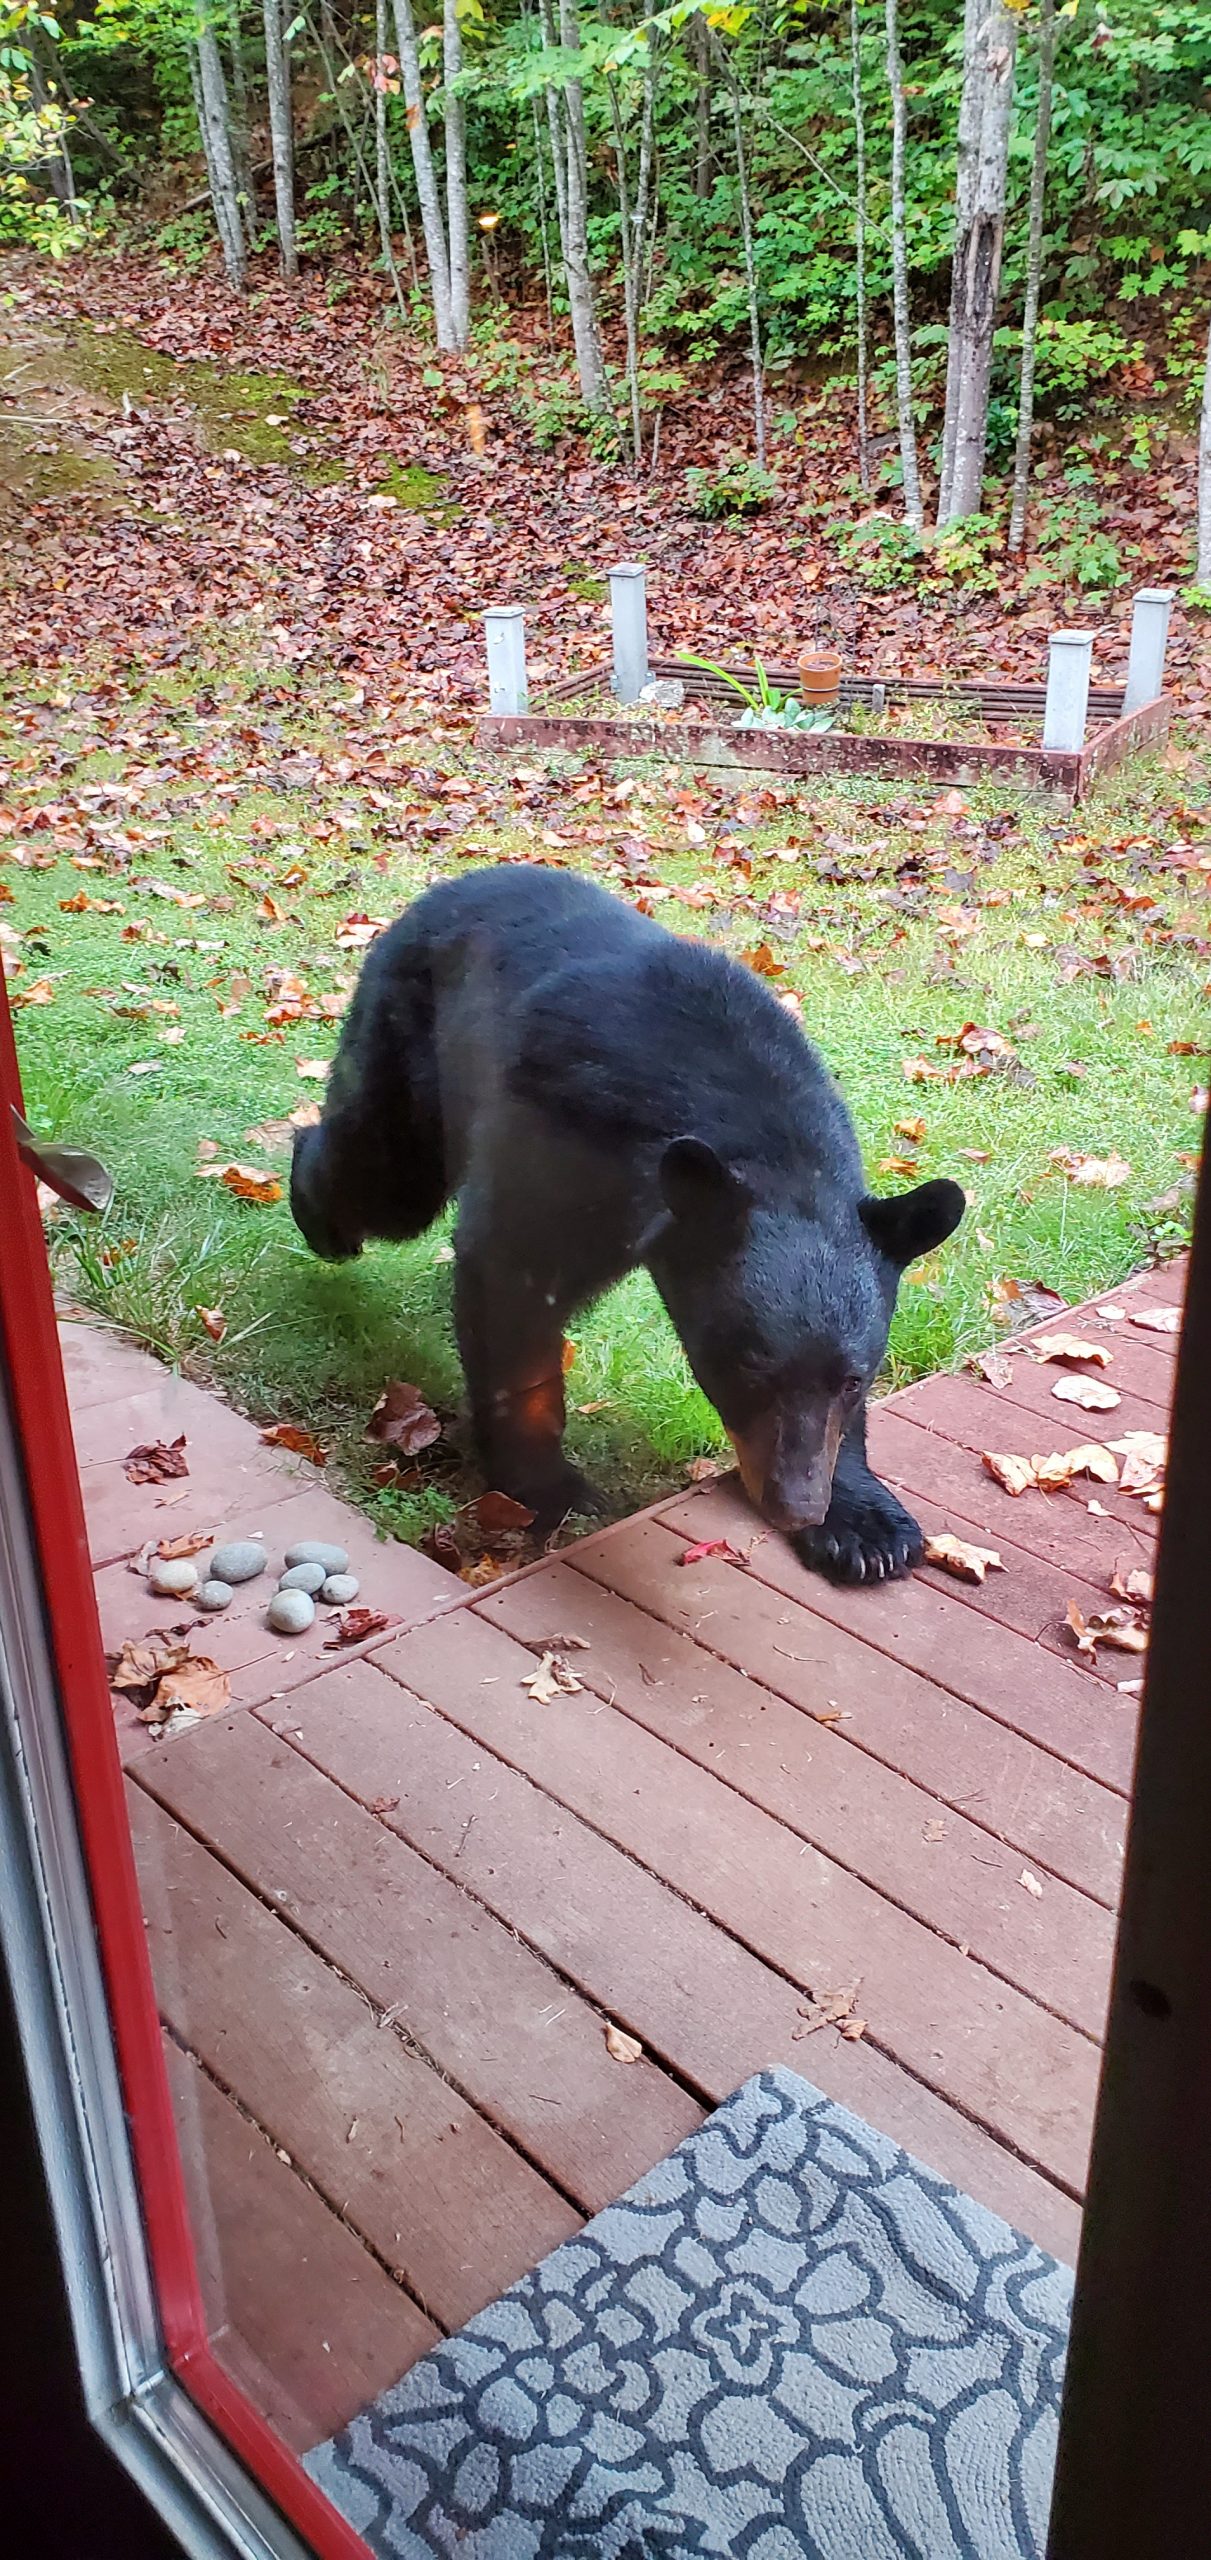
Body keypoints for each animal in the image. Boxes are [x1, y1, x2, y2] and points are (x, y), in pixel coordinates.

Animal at [291, 864, 965, 1582]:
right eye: (749, 1369)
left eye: (855, 1379)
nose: (796, 1506)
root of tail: (449, 885)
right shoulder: (559, 1142)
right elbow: (513, 1282)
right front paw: (546, 1484)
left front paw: (863, 1526)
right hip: (416, 1052)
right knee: (380, 1170)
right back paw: (321, 1217)